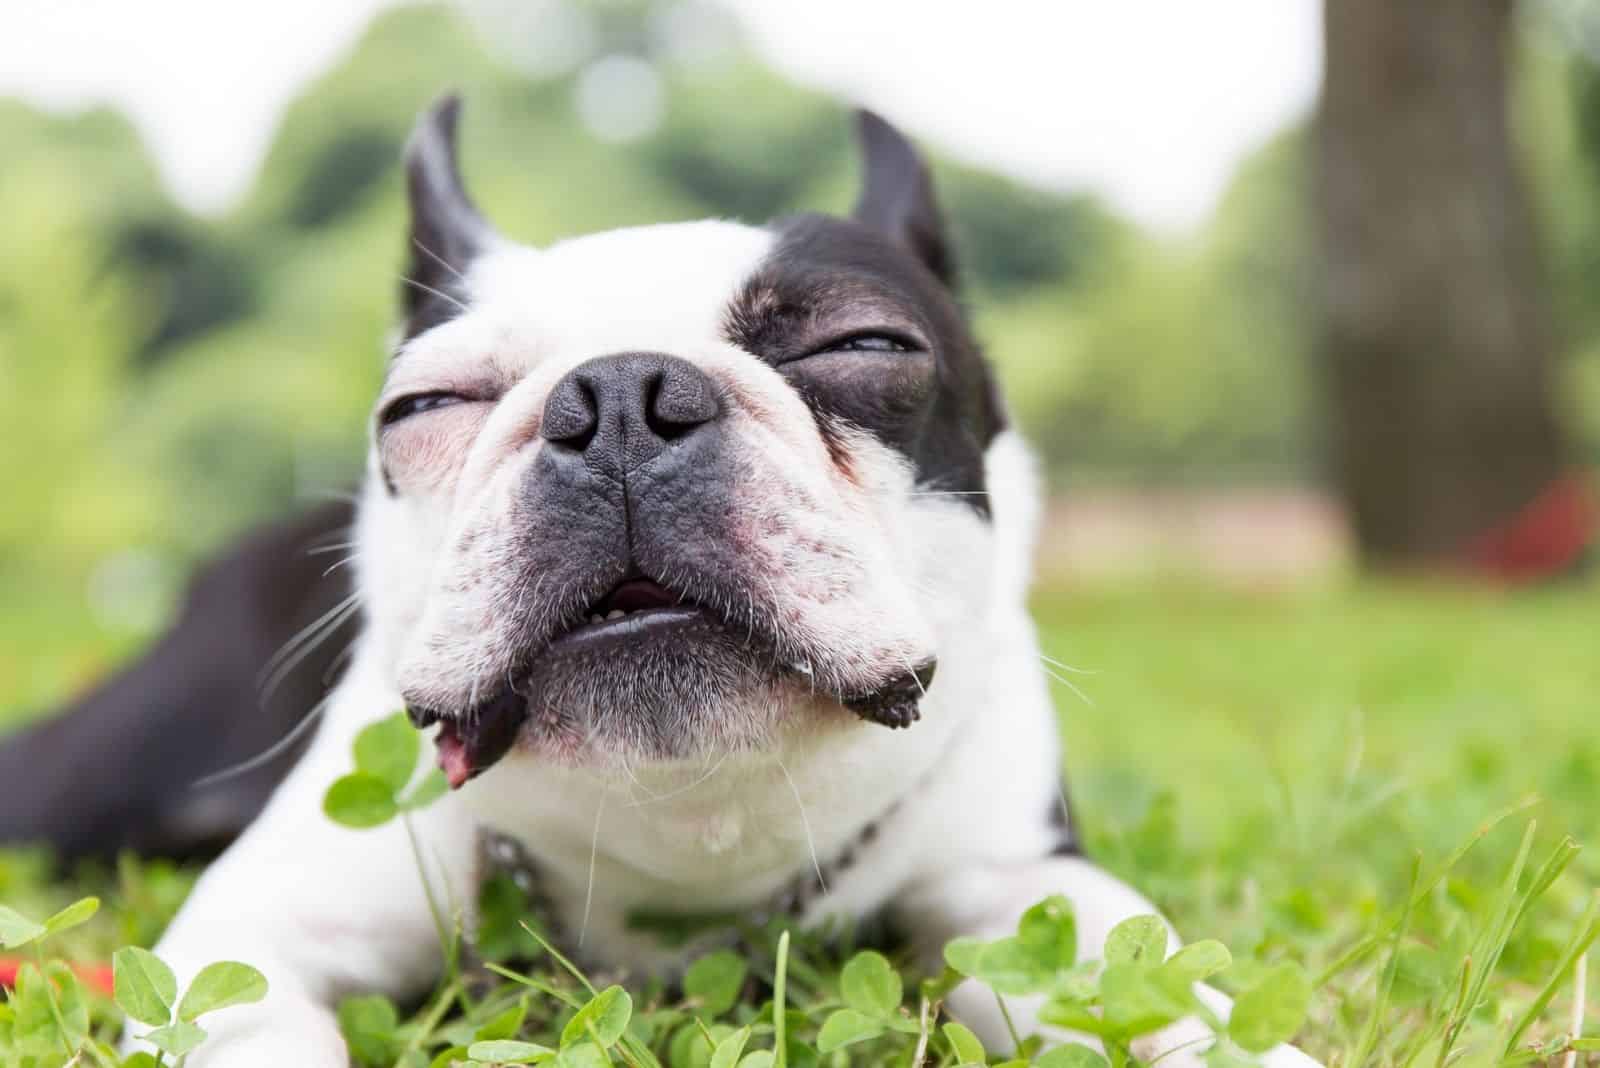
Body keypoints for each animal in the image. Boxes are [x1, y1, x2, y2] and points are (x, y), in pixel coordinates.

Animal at [9, 95, 1324, 1061]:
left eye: (864, 345)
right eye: (423, 406)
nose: (617, 398)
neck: (687, 818)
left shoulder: (1016, 880)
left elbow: (1149, 979)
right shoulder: (259, 931)